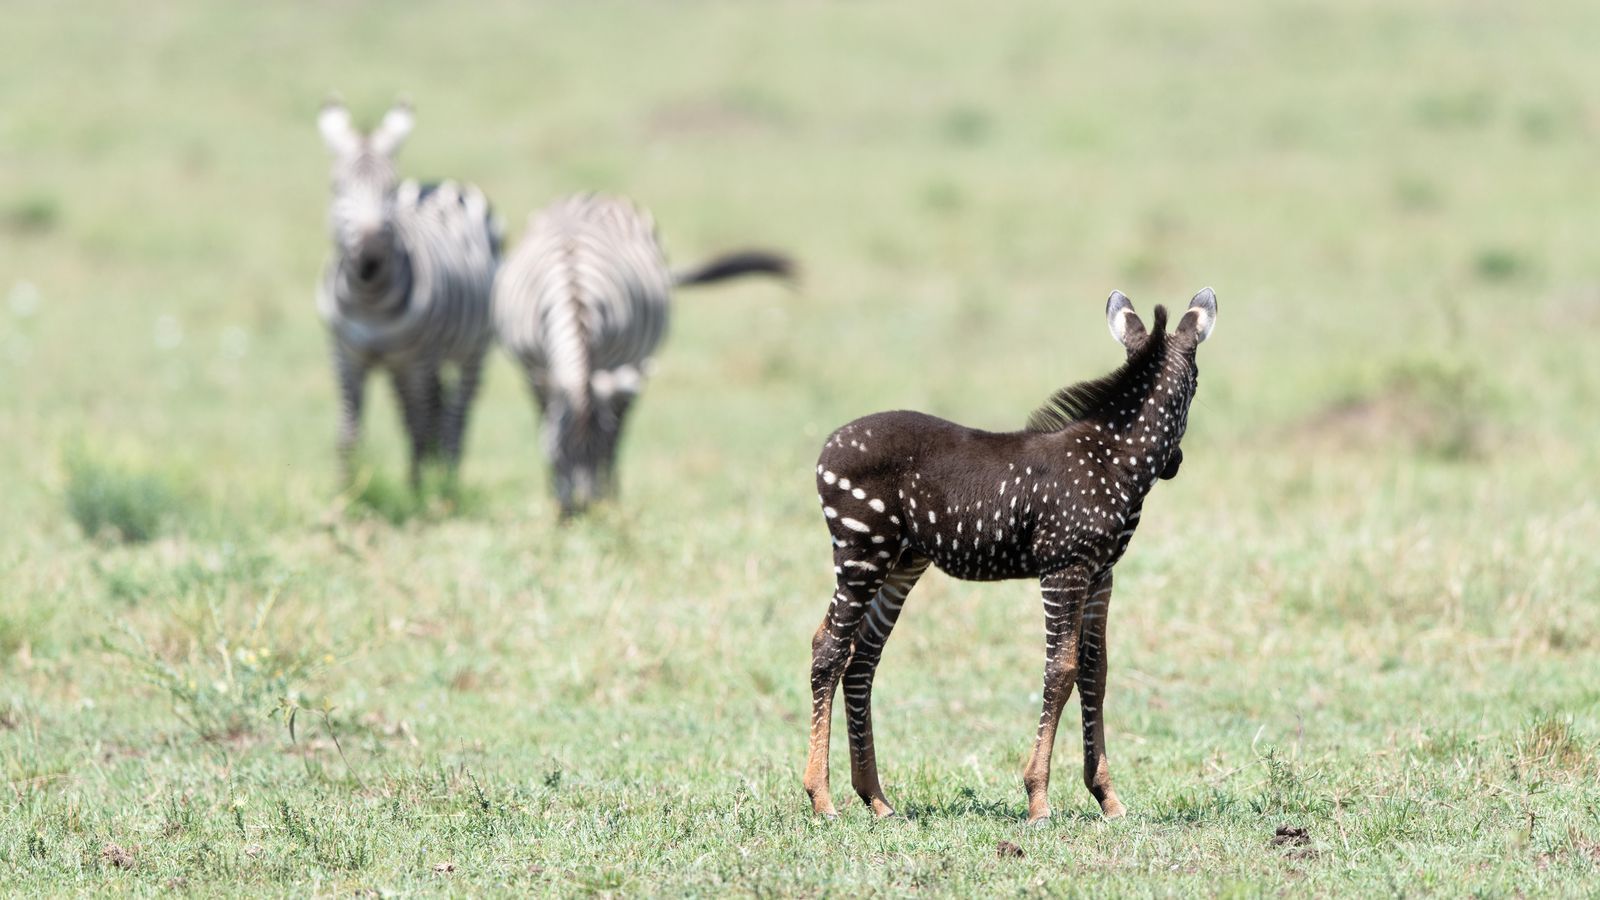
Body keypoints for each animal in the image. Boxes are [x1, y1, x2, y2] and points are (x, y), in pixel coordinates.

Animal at [315, 100, 501, 489]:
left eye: (390, 188)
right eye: (337, 187)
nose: (370, 257)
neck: (368, 300)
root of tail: (440, 182)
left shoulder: (418, 359)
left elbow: (420, 425)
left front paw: (418, 492)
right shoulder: (345, 354)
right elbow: (348, 432)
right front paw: (345, 491)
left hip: (472, 348)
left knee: (454, 415)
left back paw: (447, 476)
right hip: (402, 363)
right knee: (429, 409)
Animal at [494, 192, 792, 516]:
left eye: (599, 452)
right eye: (559, 453)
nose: (585, 510)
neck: (574, 296)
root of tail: (596, 196)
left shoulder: (615, 367)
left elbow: (613, 435)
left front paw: (604, 496)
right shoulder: (534, 368)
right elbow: (544, 422)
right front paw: (555, 497)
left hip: (637, 362)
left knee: (623, 422)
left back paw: (613, 493)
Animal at [801, 289, 1218, 823]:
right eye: (1196, 384)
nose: (1176, 465)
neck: (1112, 459)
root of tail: (828, 446)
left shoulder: (1101, 574)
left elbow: (1095, 671)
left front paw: (1107, 797)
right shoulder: (1064, 567)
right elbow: (1060, 670)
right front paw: (1038, 799)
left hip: (901, 562)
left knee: (862, 659)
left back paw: (876, 798)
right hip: (861, 552)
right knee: (828, 650)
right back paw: (822, 798)